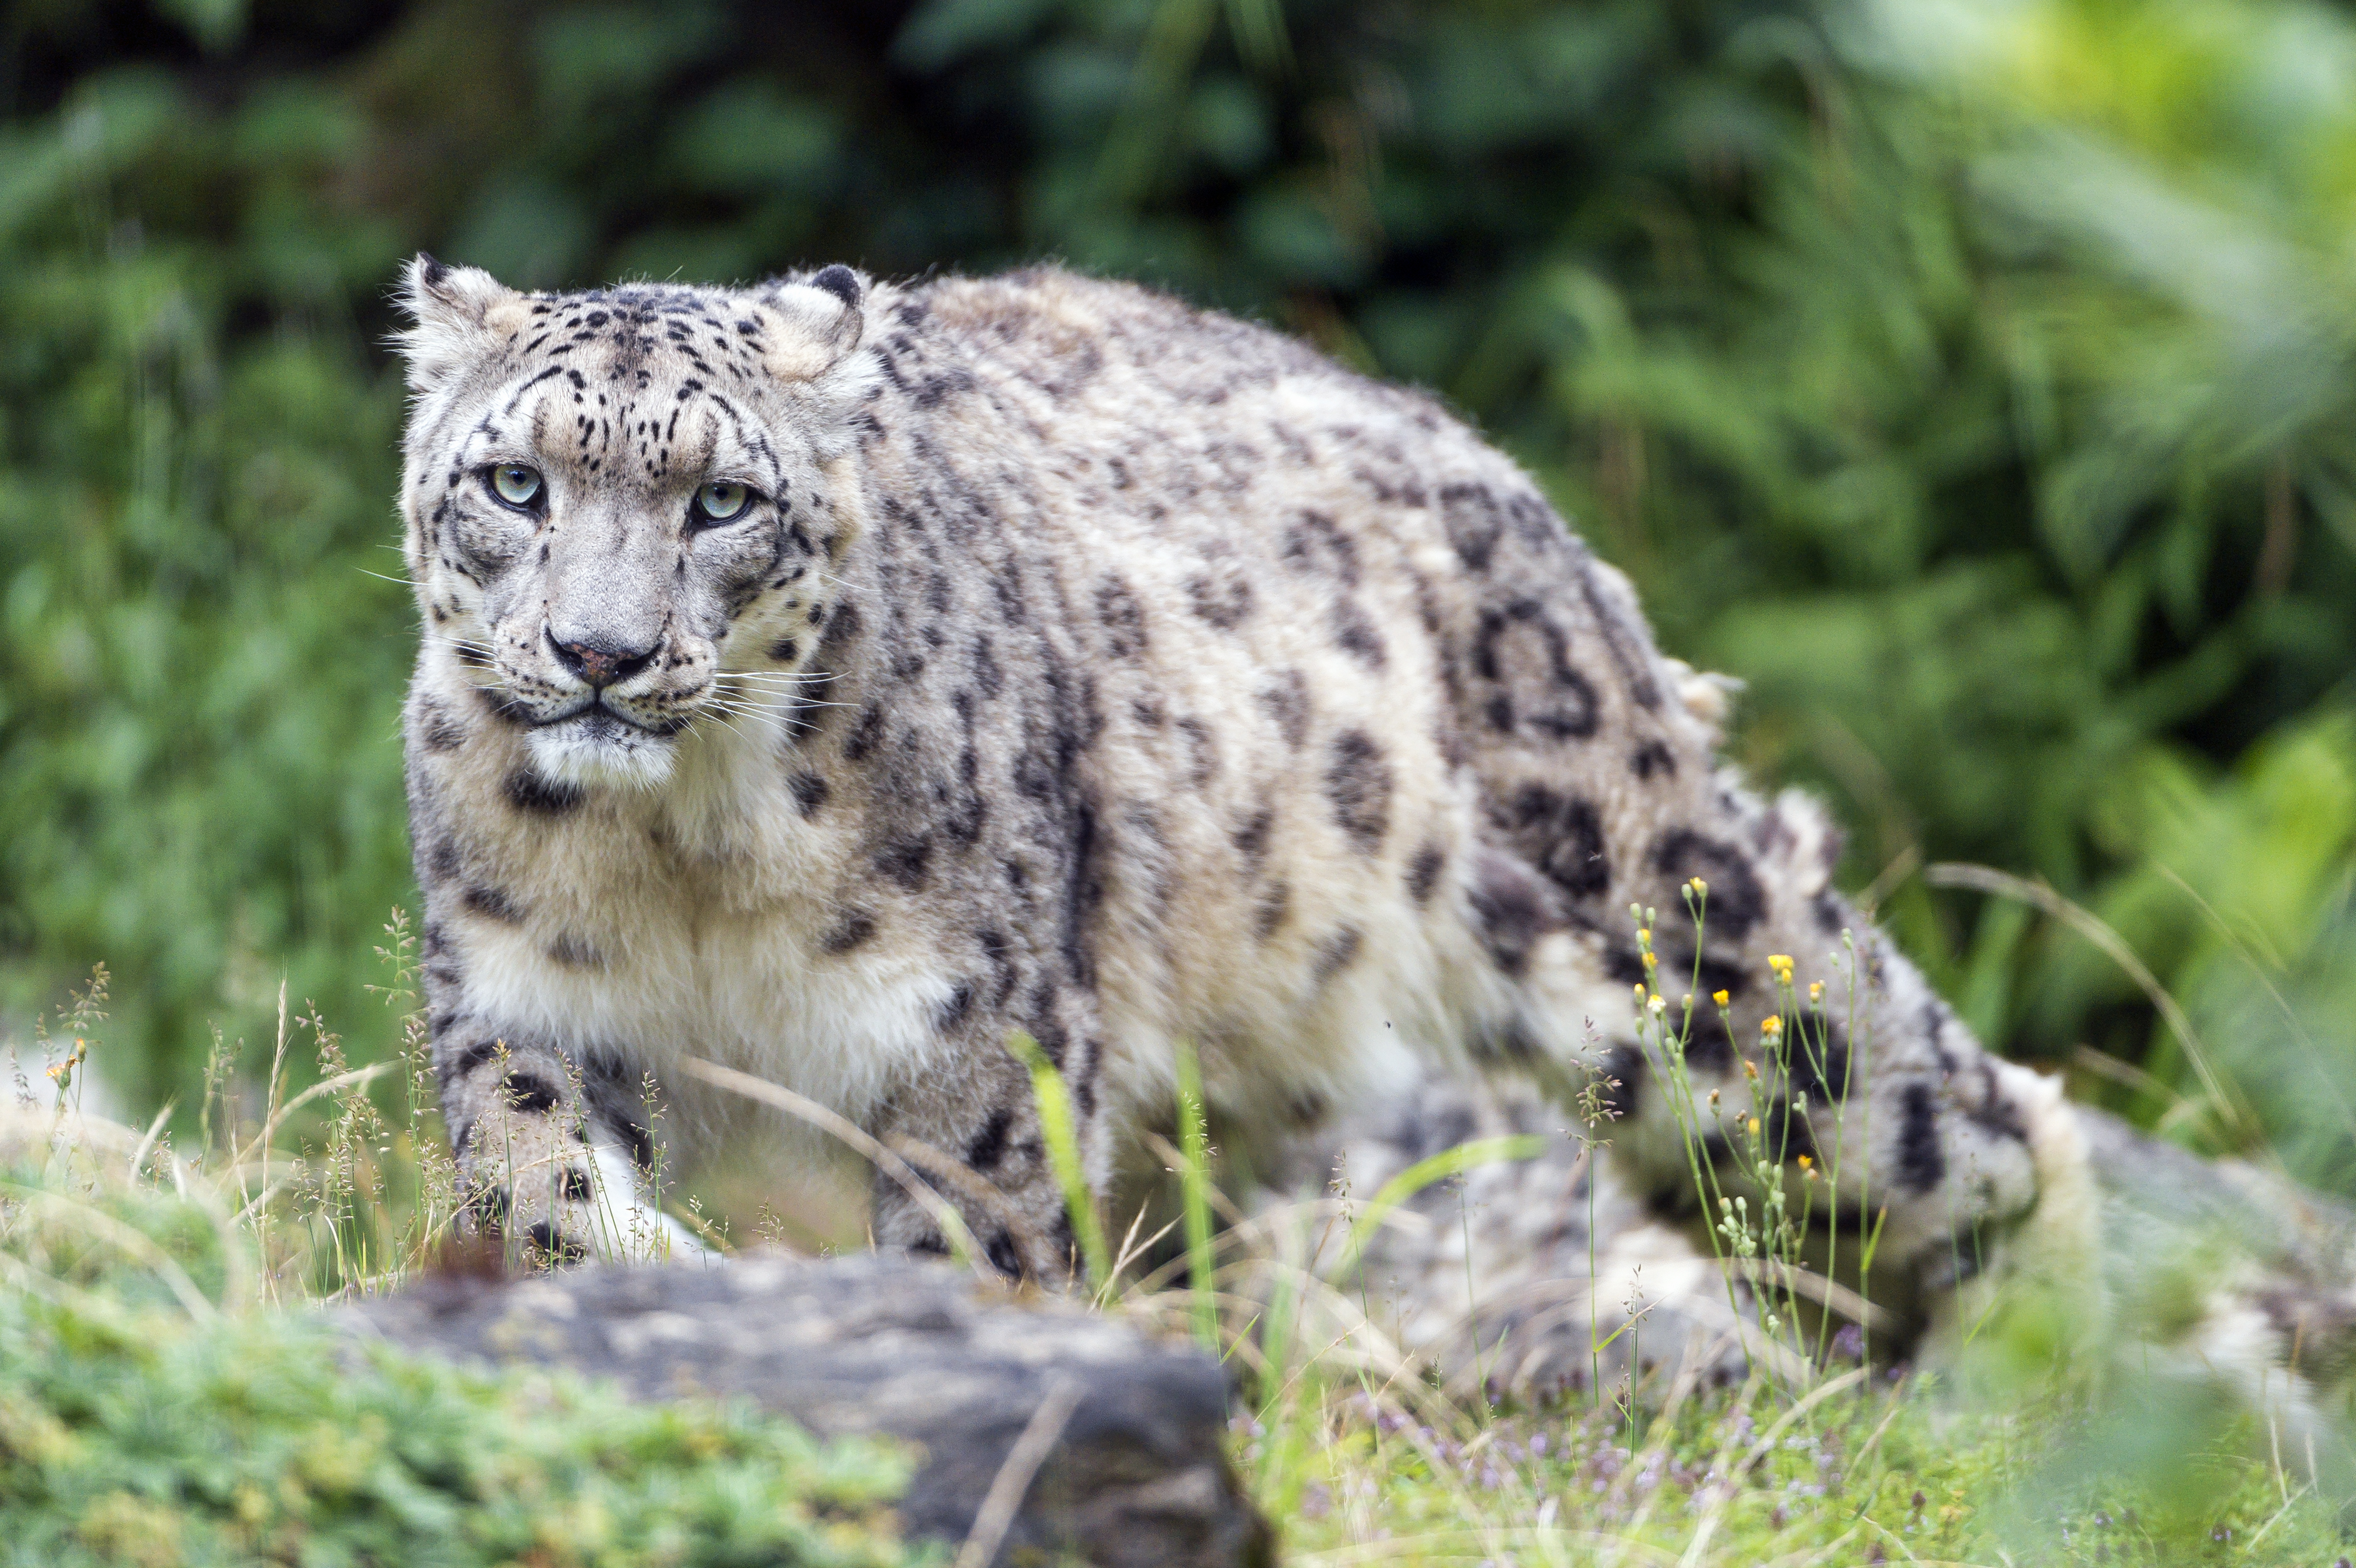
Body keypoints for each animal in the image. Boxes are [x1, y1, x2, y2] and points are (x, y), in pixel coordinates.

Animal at [391, 253, 2083, 1318]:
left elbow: (978, 1235)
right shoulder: (520, 991)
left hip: (1685, 963)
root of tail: (1513, 486)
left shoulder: (977, 1033)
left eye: (724, 501)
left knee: (1962, 1115)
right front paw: (659, 1280)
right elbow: (536, 1176)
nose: (599, 653)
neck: (686, 856)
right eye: (515, 483)